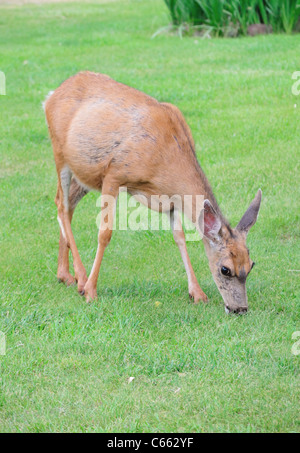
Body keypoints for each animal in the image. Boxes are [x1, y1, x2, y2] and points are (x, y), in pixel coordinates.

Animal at [43, 71, 262, 310]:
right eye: (225, 269)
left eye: (251, 265)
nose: (240, 309)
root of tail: (51, 95)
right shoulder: (114, 173)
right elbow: (105, 233)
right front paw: (91, 291)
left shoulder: (170, 198)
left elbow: (180, 236)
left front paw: (197, 293)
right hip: (60, 153)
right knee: (61, 206)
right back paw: (81, 279)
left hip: (84, 172)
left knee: (66, 204)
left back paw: (64, 275)